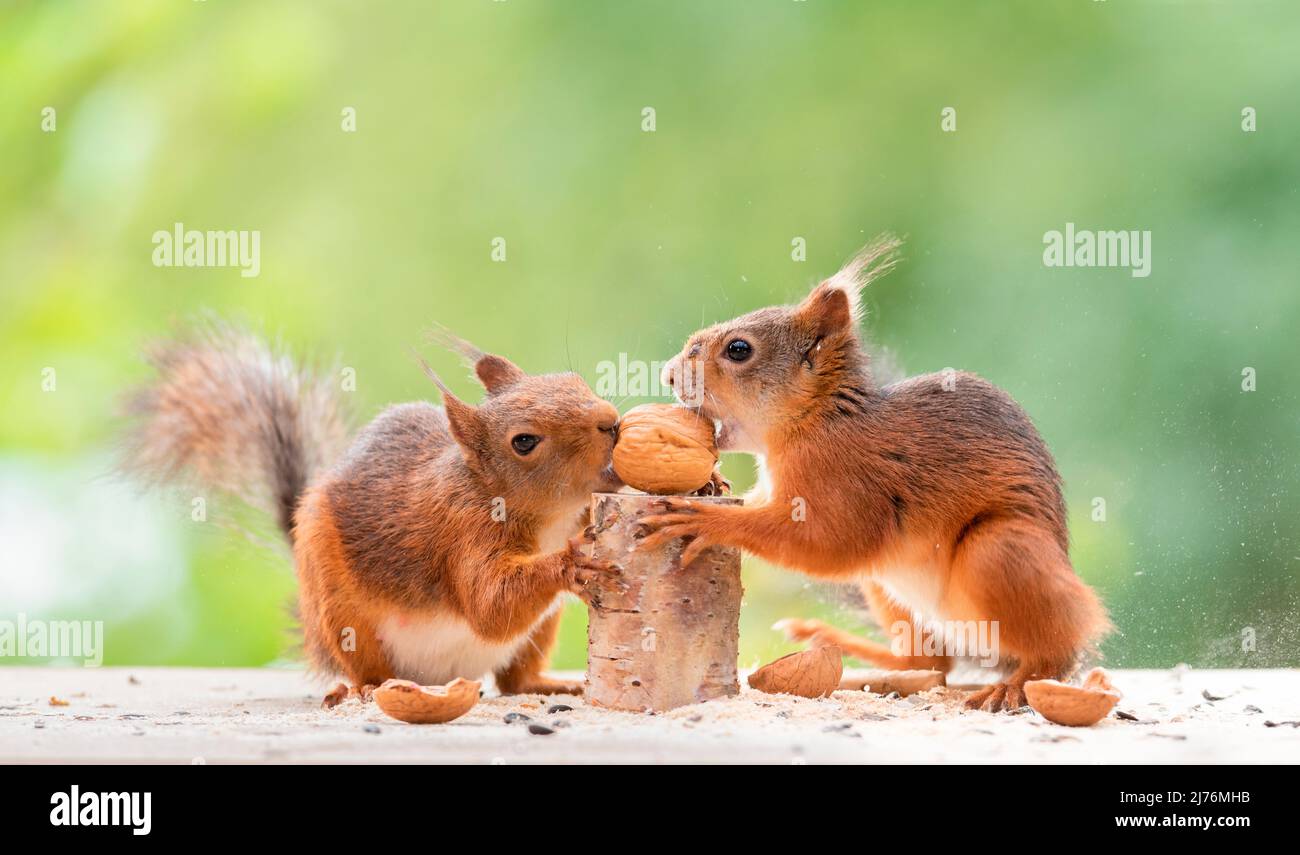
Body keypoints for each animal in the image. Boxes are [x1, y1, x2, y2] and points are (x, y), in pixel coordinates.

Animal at [121, 319, 621, 702]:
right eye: (524, 441)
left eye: (574, 382)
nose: (612, 421)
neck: (550, 516)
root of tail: (440, 678)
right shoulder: (463, 530)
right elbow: (490, 605)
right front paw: (571, 559)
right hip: (342, 616)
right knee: (366, 666)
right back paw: (368, 687)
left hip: (541, 629)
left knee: (515, 680)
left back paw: (550, 685)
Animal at [640, 236, 1110, 711]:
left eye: (739, 350)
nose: (669, 374)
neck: (814, 421)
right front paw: (712, 484)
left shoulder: (850, 484)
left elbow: (828, 543)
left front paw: (706, 519)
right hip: (888, 588)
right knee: (927, 662)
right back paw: (836, 646)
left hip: (999, 551)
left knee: (1055, 651)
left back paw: (1015, 684)